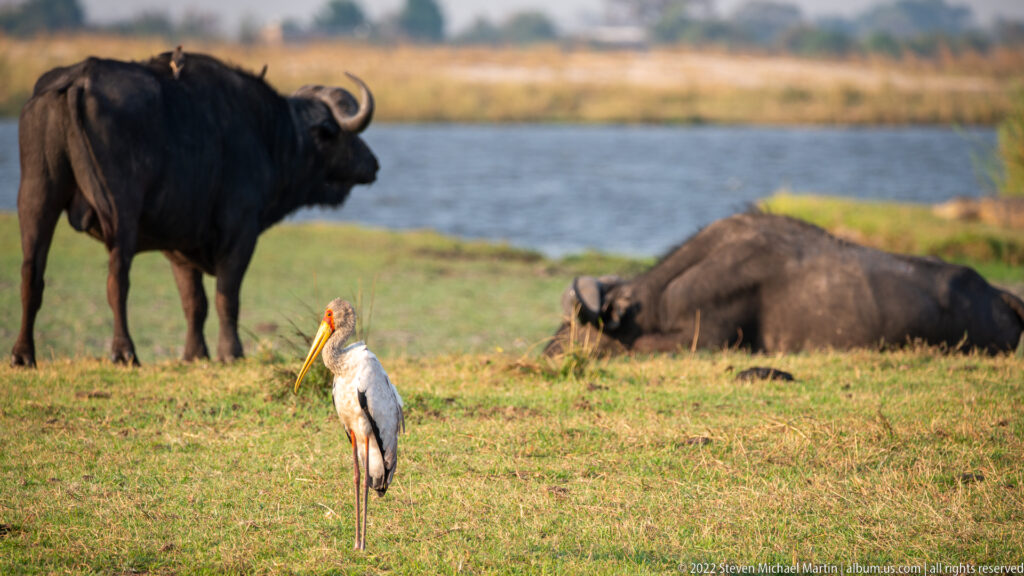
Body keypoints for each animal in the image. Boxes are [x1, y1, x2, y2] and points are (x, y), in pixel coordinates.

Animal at [11, 50, 379, 367]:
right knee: (117, 279)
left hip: (36, 194)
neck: (271, 133)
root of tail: (79, 78)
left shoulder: (179, 245)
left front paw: (194, 353)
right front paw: (231, 352)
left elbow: (194, 302)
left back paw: (23, 354)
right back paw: (125, 351)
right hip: (121, 210)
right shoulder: (241, 234)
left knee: (32, 272)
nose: (373, 163)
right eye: (344, 135)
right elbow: (226, 296)